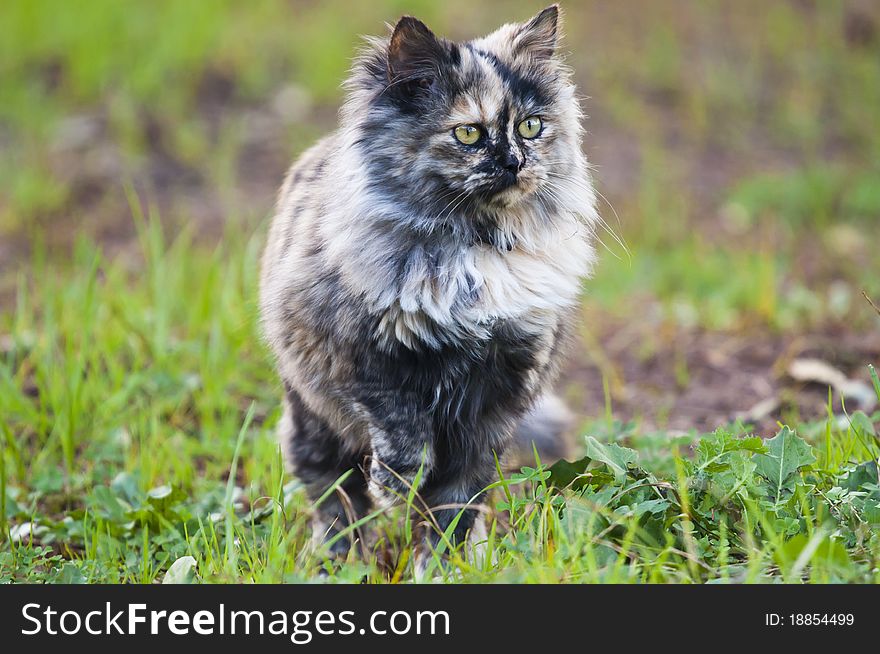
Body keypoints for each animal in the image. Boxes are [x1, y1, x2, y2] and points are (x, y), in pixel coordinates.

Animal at [256, 3, 600, 568]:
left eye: (531, 127)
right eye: (468, 135)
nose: (515, 162)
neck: (477, 250)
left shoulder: (495, 399)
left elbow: (454, 504)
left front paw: (443, 566)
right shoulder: (370, 364)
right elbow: (405, 443)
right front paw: (394, 488)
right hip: (313, 420)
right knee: (333, 498)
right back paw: (339, 562)